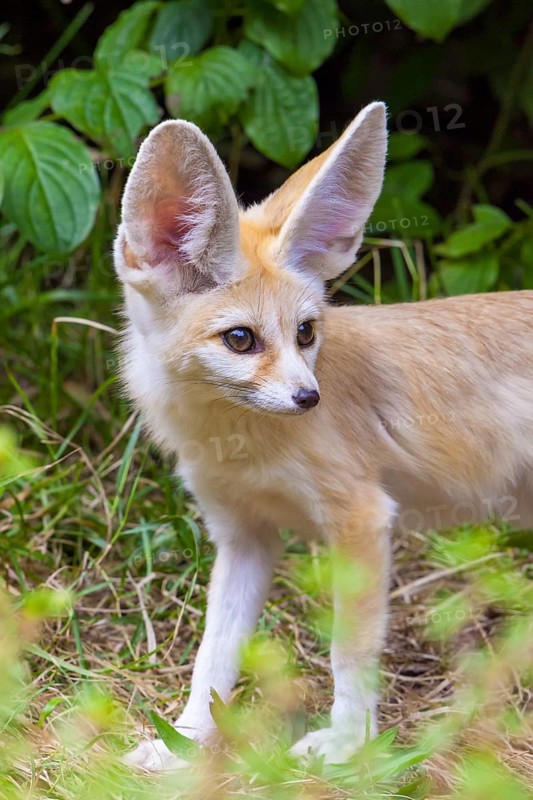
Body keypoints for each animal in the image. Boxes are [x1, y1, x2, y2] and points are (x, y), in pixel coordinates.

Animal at [114, 101, 533, 770]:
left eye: (306, 332)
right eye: (241, 339)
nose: (309, 399)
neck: (239, 445)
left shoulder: (361, 519)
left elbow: (349, 651)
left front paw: (347, 743)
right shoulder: (243, 536)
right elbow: (214, 655)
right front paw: (186, 743)